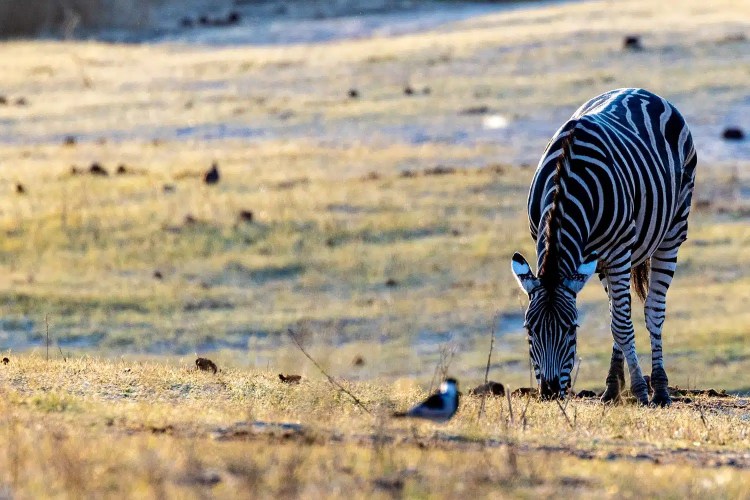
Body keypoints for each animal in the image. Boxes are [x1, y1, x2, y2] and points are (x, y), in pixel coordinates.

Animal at [510, 88, 697, 406]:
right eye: (529, 329)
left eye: (572, 329)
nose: (549, 393)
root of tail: (643, 91)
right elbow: (617, 323)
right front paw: (622, 387)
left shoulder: (619, 250)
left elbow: (622, 325)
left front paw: (640, 390)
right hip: (602, 262)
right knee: (618, 311)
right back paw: (611, 389)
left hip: (672, 230)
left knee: (652, 311)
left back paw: (659, 390)